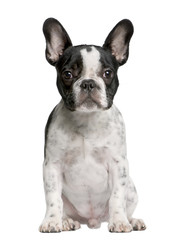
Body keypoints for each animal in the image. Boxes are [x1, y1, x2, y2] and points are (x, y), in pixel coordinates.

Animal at [39, 18, 146, 232]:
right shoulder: (52, 165)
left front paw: (119, 221)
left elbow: (117, 196)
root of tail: (92, 220)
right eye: (67, 74)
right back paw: (66, 221)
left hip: (131, 188)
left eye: (107, 73)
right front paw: (52, 221)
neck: (86, 119)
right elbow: (53, 197)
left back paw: (132, 221)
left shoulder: (118, 165)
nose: (88, 83)